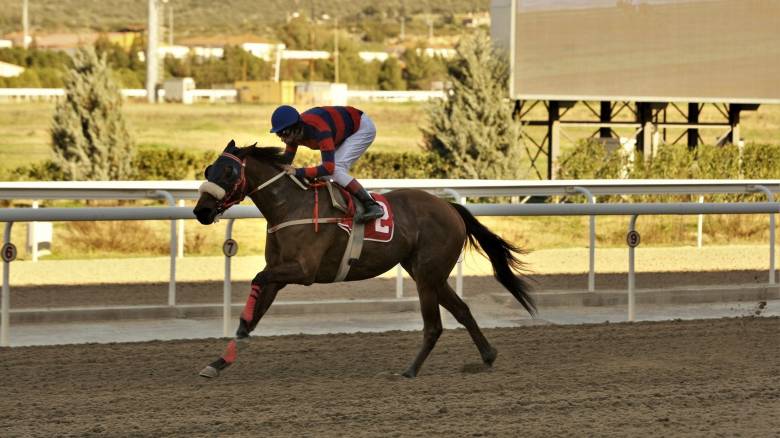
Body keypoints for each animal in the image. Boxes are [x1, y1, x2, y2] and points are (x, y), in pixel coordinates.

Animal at [195, 139, 536, 376]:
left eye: (229, 171)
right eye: (209, 170)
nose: (201, 211)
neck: (291, 206)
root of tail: (450, 208)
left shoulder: (303, 270)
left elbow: (257, 279)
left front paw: (233, 343)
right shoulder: (280, 272)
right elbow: (254, 312)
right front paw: (219, 360)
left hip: (427, 275)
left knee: (434, 325)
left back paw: (410, 370)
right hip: (427, 273)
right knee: (462, 310)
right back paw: (487, 356)